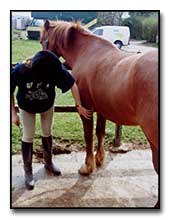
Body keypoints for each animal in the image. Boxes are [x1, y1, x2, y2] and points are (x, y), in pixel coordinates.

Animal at [40, 20, 159, 179]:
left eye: (42, 41)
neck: (85, 52)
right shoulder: (102, 109)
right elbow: (100, 132)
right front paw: (99, 159)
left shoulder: (86, 109)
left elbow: (88, 135)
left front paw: (87, 167)